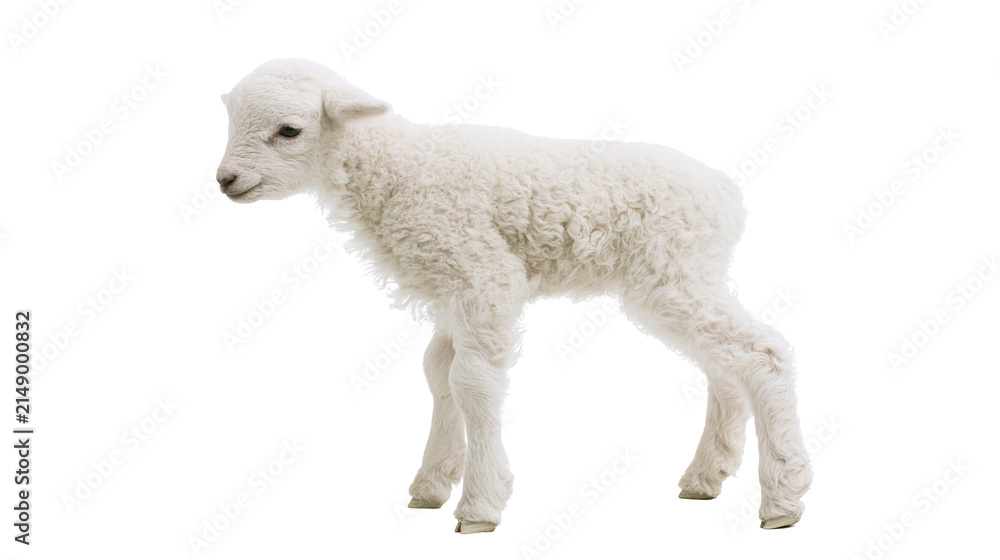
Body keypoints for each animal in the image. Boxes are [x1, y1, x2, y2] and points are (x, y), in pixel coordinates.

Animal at [216, 58, 812, 534]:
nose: (225, 180)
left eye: (289, 130)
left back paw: (783, 497)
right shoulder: (449, 289)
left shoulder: (482, 273)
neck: (398, 167)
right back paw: (707, 476)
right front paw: (432, 484)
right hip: (685, 278)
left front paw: (479, 505)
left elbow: (471, 382)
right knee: (723, 365)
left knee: (761, 354)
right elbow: (438, 375)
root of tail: (727, 194)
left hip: (673, 272)